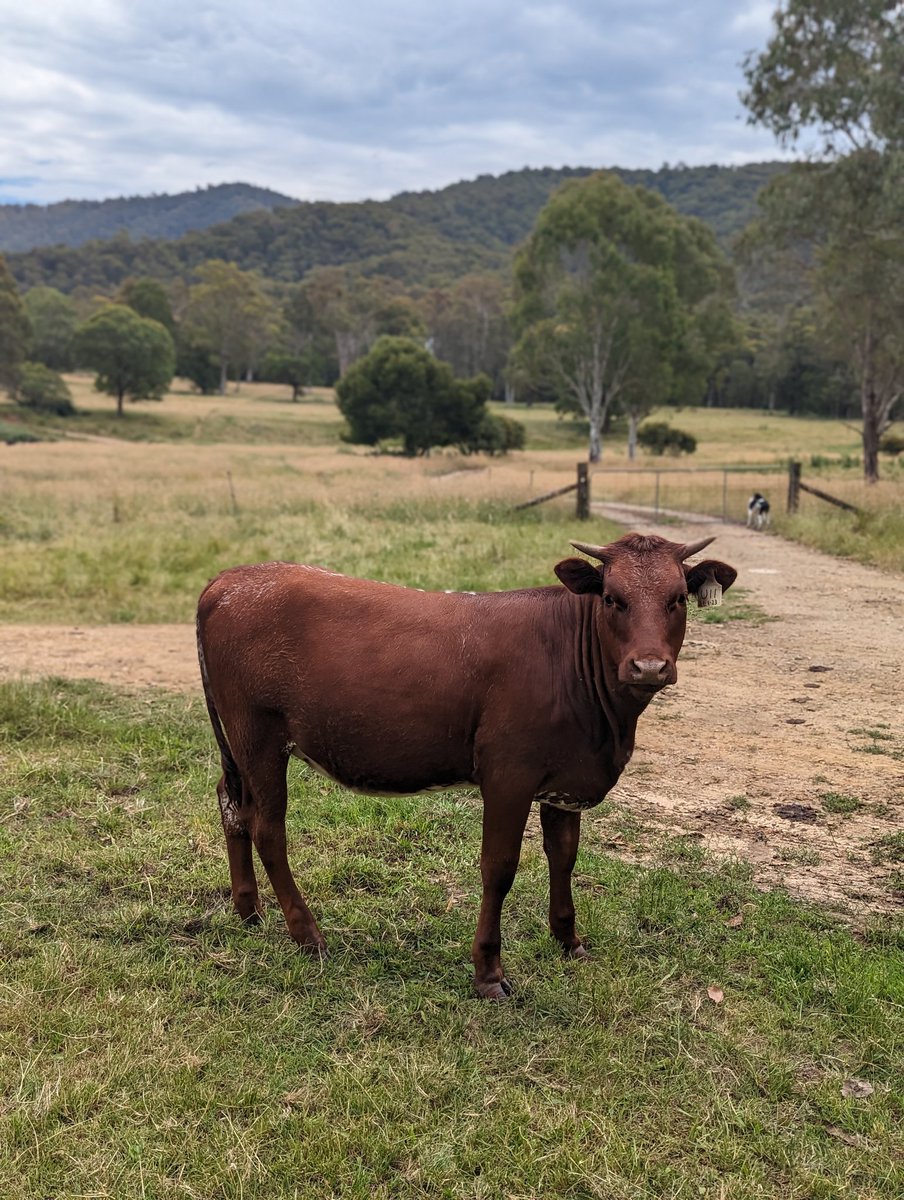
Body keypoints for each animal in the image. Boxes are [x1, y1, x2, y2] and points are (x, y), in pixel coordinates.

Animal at [195, 532, 734, 993]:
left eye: (677, 599)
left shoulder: (566, 779)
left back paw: (249, 910)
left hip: (237, 743)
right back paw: (308, 934)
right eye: (612, 599)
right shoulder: (508, 775)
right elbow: (499, 868)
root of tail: (229, 579)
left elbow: (563, 856)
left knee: (232, 804)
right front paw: (488, 972)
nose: (648, 666)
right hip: (258, 734)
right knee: (267, 827)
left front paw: (568, 941)